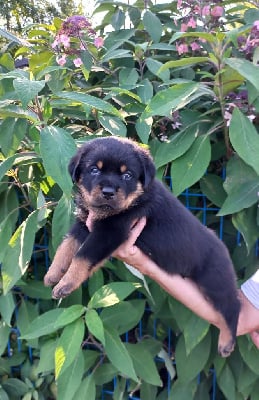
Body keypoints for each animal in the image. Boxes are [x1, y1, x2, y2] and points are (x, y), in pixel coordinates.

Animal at [44, 137, 242, 356]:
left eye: (127, 175)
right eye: (94, 170)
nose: (108, 192)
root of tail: (223, 248)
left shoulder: (110, 232)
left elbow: (83, 255)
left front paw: (65, 284)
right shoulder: (84, 224)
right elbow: (67, 245)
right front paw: (53, 273)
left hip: (215, 282)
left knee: (233, 306)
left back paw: (226, 343)